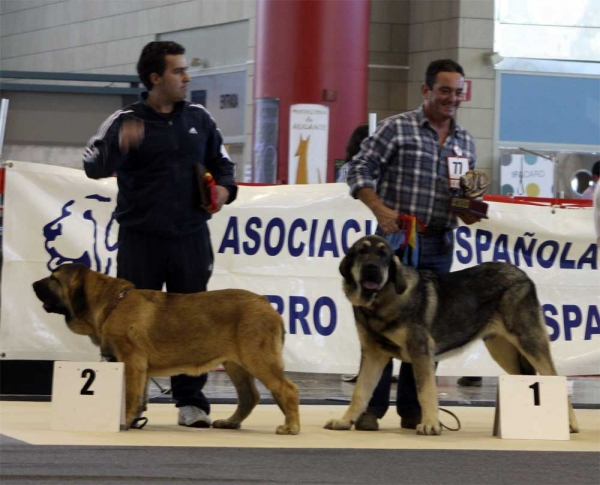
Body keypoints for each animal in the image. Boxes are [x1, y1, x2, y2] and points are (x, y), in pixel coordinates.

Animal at [32, 264, 300, 434]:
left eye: (54, 278)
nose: (33, 283)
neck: (110, 304)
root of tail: (265, 303)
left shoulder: (132, 363)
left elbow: (130, 395)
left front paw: (125, 422)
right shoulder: (137, 368)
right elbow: (139, 396)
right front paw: (134, 419)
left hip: (257, 359)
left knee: (286, 389)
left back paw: (291, 427)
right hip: (236, 365)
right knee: (249, 396)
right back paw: (231, 422)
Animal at [326, 234, 580, 434]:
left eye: (384, 256)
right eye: (361, 252)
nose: (372, 268)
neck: (380, 302)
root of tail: (524, 276)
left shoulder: (420, 352)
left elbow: (425, 391)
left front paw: (430, 424)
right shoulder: (373, 355)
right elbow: (360, 392)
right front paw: (345, 421)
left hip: (530, 342)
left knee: (554, 377)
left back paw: (570, 424)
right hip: (504, 351)